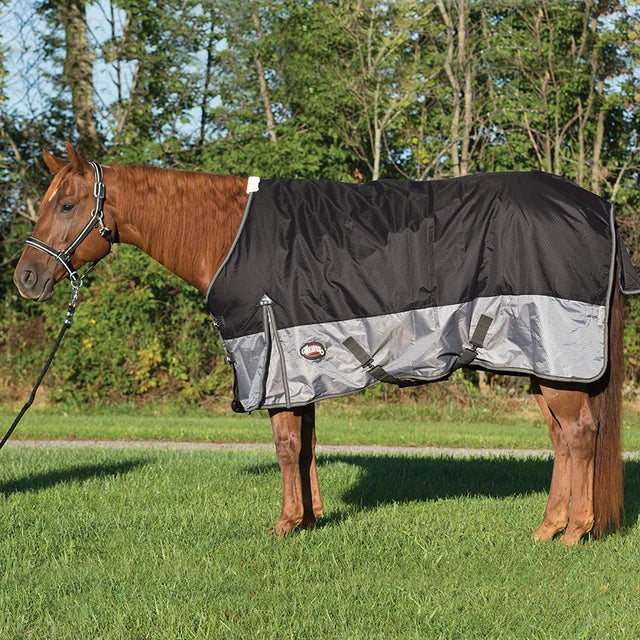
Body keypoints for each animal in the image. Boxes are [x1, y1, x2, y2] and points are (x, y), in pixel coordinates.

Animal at [13, 142, 628, 546]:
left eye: (66, 205)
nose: (25, 278)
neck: (229, 238)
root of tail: (599, 207)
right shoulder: (302, 363)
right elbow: (305, 445)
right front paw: (309, 519)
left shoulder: (274, 360)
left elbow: (287, 446)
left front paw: (284, 526)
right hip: (544, 363)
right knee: (562, 437)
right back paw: (548, 528)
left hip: (558, 359)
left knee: (579, 435)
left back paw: (574, 533)